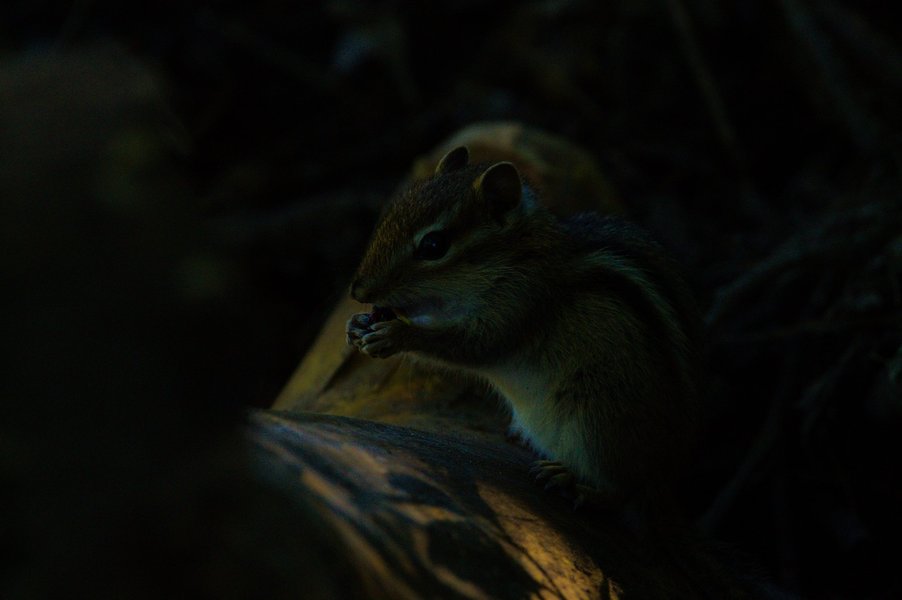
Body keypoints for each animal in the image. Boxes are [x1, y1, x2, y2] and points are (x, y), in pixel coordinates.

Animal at [346, 145, 703, 513]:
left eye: (433, 246)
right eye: (392, 213)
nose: (358, 291)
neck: (516, 257)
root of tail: (670, 476)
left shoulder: (522, 302)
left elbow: (473, 346)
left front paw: (395, 335)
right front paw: (358, 325)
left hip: (600, 419)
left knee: (624, 492)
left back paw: (574, 484)